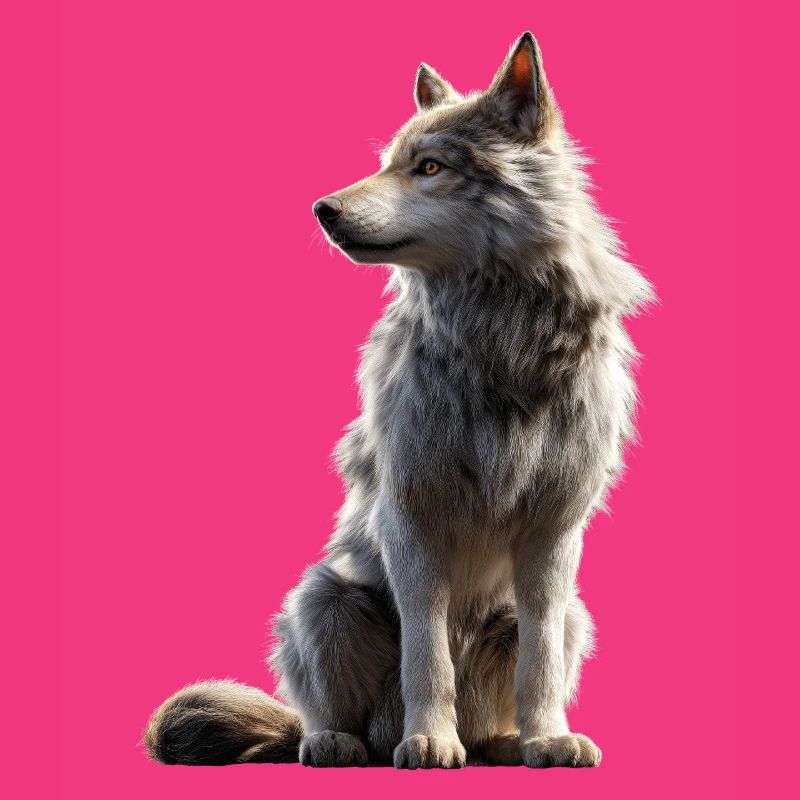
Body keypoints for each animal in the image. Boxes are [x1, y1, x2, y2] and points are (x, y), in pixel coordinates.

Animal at [144, 32, 652, 769]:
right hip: (323, 599)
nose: (322, 209)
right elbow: (427, 654)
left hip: (575, 615)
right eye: (388, 164)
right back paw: (341, 742)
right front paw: (430, 741)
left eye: (430, 167)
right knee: (327, 715)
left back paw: (504, 743)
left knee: (520, 681)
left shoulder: (554, 534)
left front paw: (548, 739)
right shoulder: (410, 521)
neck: (498, 341)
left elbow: (540, 664)